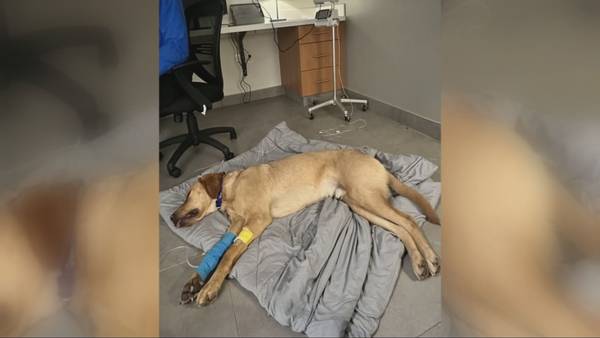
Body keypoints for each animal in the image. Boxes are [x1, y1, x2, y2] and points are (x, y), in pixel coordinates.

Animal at [170, 149, 440, 304]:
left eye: (188, 195)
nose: (172, 217)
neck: (228, 190)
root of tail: (379, 164)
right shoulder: (236, 225)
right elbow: (220, 251)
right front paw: (196, 281)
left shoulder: (257, 220)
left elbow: (228, 255)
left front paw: (209, 288)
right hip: (360, 204)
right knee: (400, 228)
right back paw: (419, 260)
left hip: (366, 198)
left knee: (409, 220)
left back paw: (426, 259)